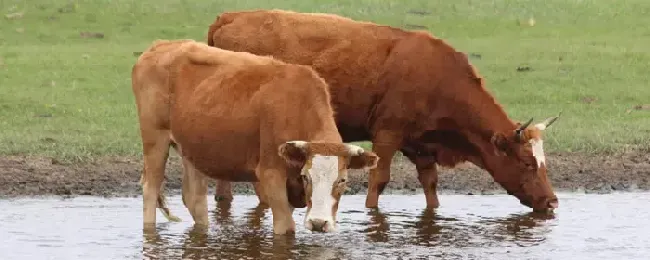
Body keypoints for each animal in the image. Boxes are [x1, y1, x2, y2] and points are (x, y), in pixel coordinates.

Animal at [129, 39, 378, 236]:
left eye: (343, 180)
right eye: (306, 177)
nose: (318, 223)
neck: (298, 106)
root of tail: (160, 46)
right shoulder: (271, 174)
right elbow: (286, 228)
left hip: (192, 148)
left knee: (194, 197)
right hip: (155, 139)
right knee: (150, 188)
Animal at [205, 9, 560, 212]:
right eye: (527, 163)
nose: (552, 201)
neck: (438, 76)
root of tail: (230, 16)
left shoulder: (421, 144)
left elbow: (430, 184)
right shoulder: (388, 134)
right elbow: (379, 180)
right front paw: (371, 213)